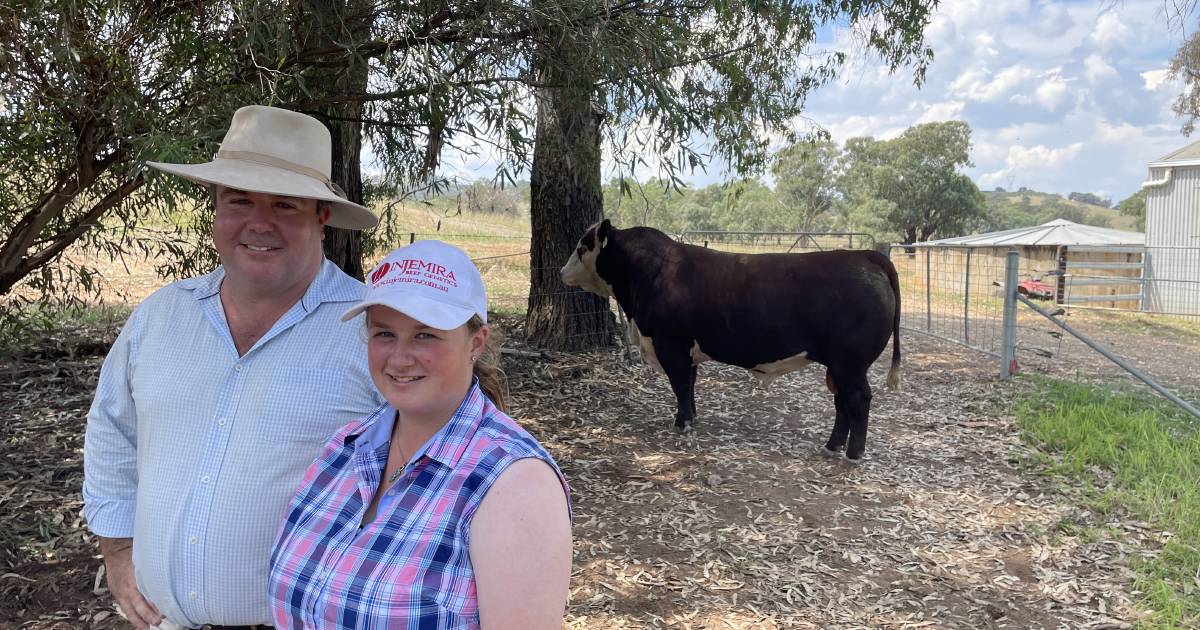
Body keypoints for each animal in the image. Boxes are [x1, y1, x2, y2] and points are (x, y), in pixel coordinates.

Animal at [561, 220, 902, 460]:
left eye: (582, 247)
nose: (562, 271)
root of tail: (865, 256)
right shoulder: (688, 350)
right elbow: (690, 385)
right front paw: (692, 417)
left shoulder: (670, 345)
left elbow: (680, 385)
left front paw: (682, 423)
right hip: (840, 366)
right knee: (842, 401)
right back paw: (832, 446)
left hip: (850, 364)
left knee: (858, 399)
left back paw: (852, 454)